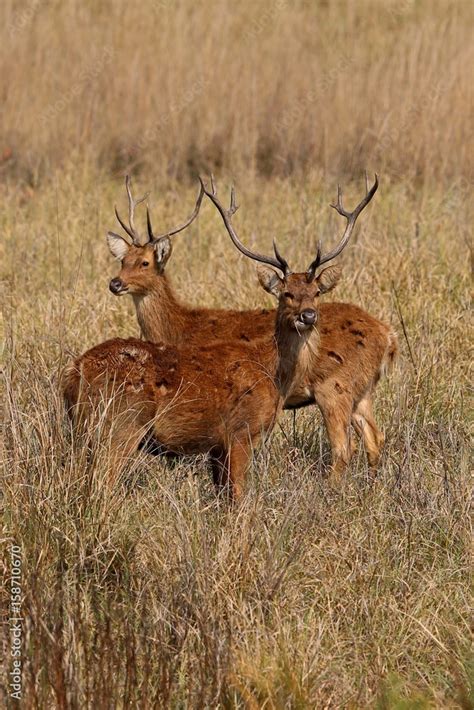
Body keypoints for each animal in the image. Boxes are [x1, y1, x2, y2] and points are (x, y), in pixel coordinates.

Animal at [64, 175, 396, 498]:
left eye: (144, 263)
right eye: (123, 261)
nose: (115, 283)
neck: (179, 326)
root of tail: (387, 334)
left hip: (337, 388)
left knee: (349, 446)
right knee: (371, 440)